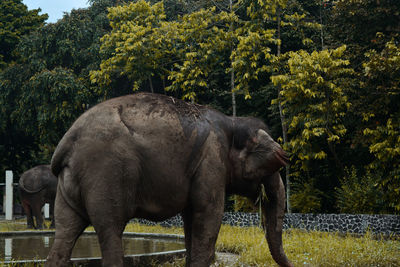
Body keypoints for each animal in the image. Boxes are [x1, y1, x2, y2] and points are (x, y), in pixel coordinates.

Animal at [45, 92, 294, 267]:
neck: (232, 123)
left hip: (68, 185)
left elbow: (190, 218)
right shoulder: (211, 161)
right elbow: (209, 215)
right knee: (110, 230)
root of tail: (67, 141)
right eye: (276, 161)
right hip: (106, 174)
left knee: (65, 231)